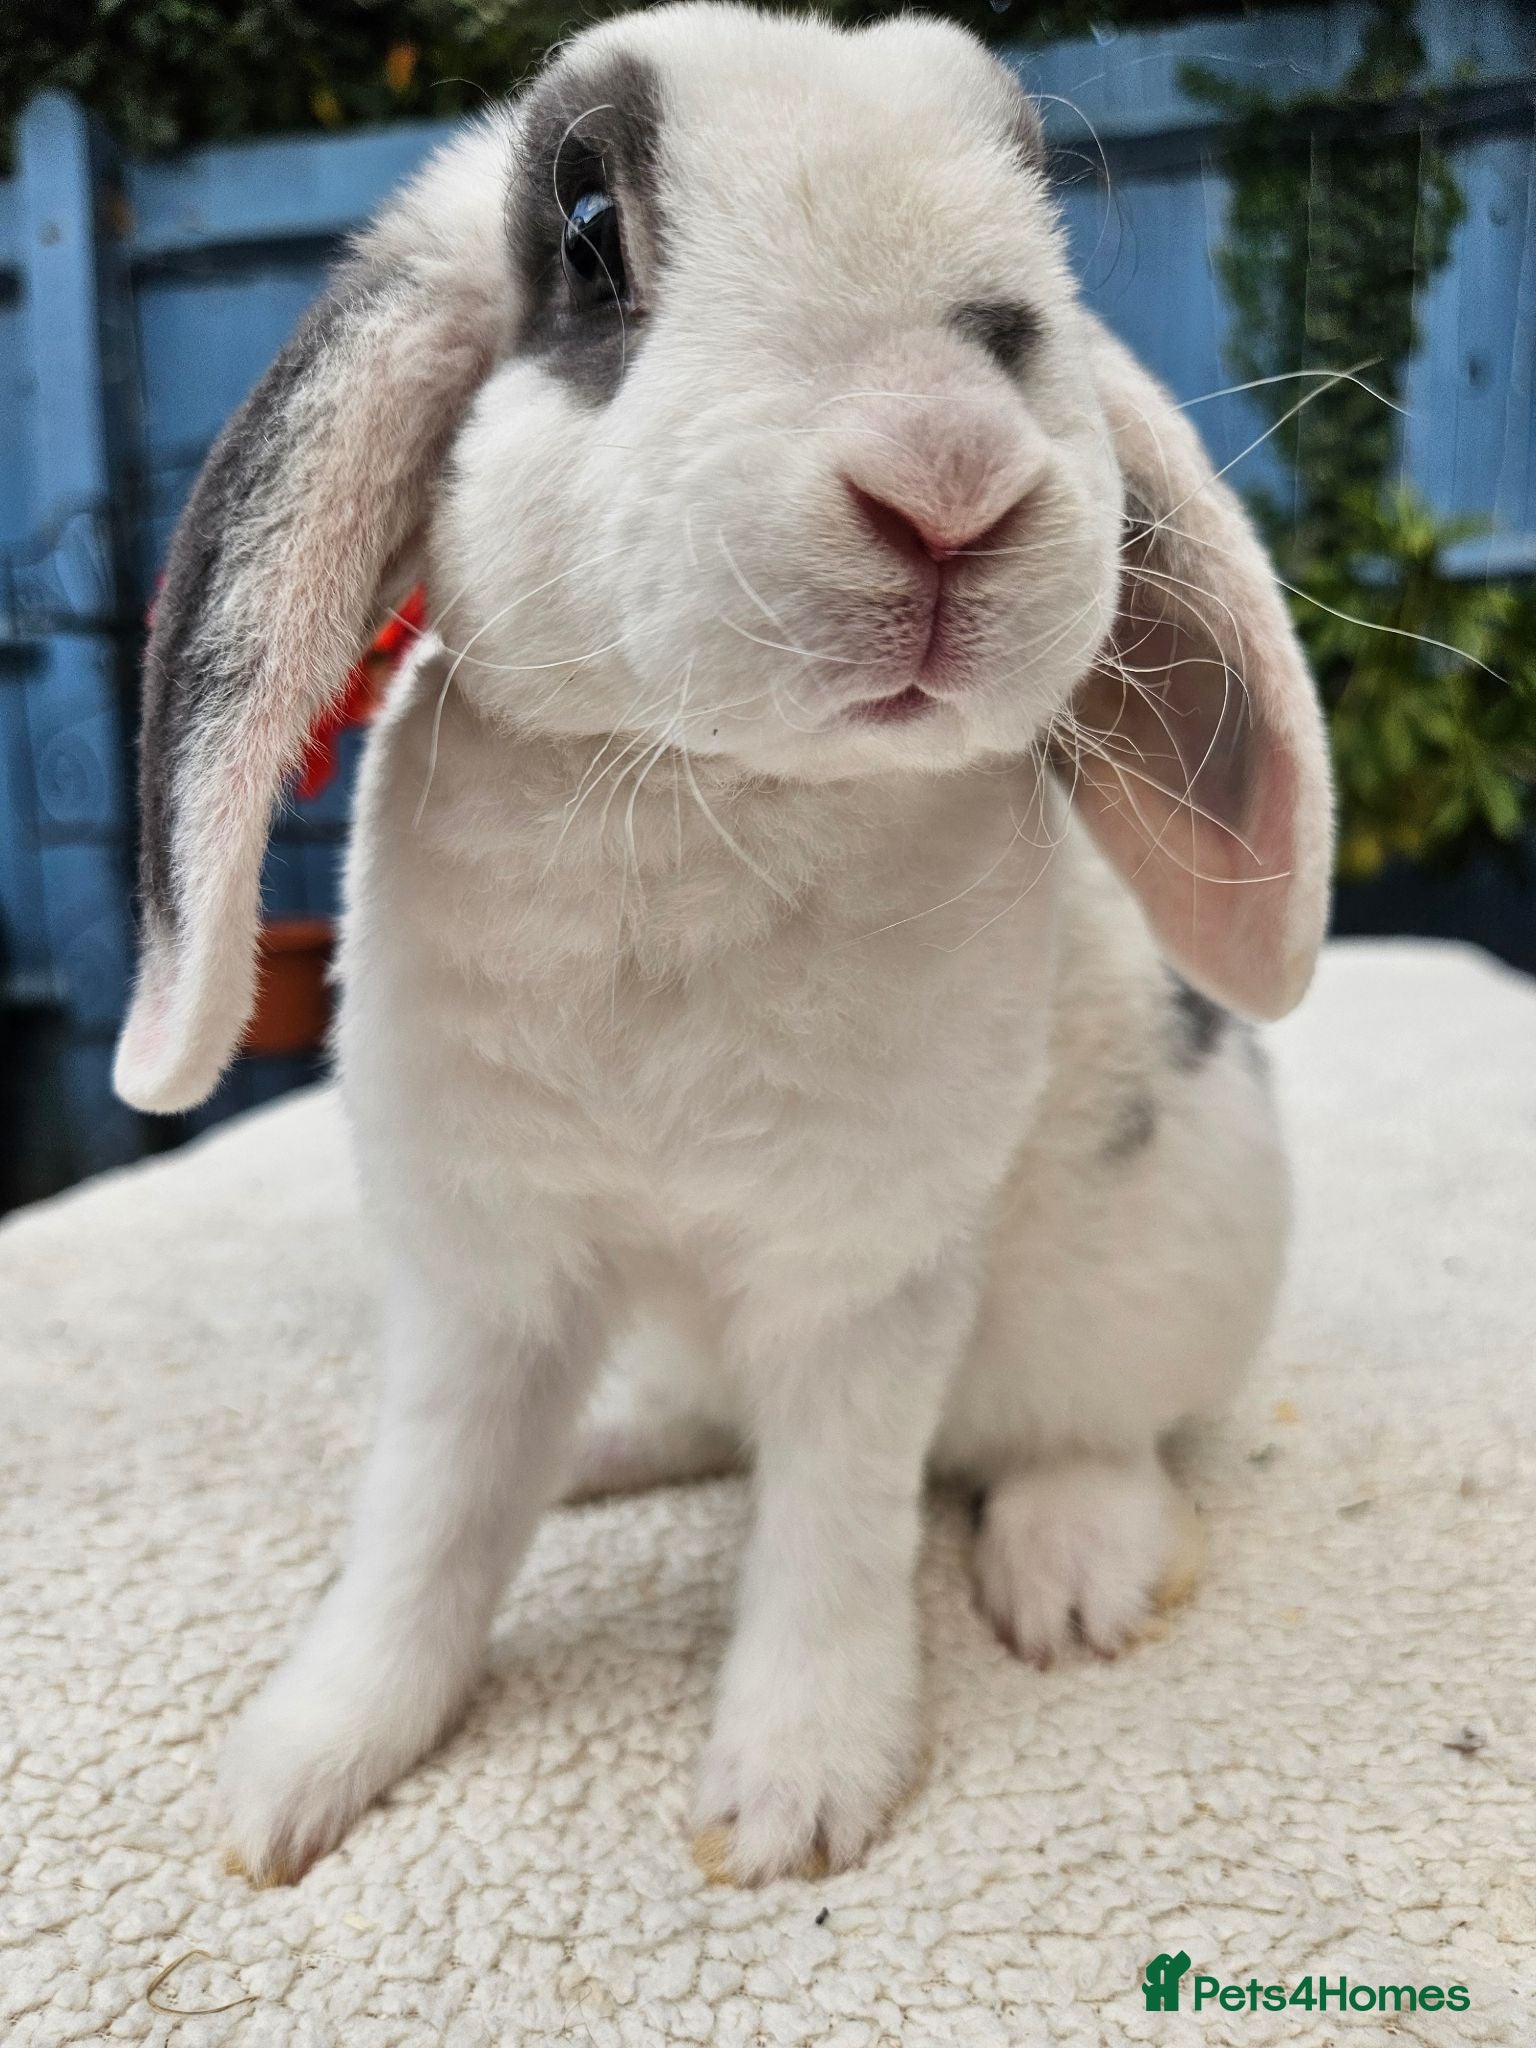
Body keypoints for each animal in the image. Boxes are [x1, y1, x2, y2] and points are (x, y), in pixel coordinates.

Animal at [114, 1, 1332, 1889]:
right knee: (691, 1426)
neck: (709, 797)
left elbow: (832, 1522)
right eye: (586, 230)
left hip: (1159, 1266)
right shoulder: (483, 1268)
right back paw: (607, 1449)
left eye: (1039, 219)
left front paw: (793, 1799)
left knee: (1086, 1433)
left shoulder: (864, 1276)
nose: (949, 476)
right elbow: (430, 1514)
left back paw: (1074, 1569)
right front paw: (291, 1781)